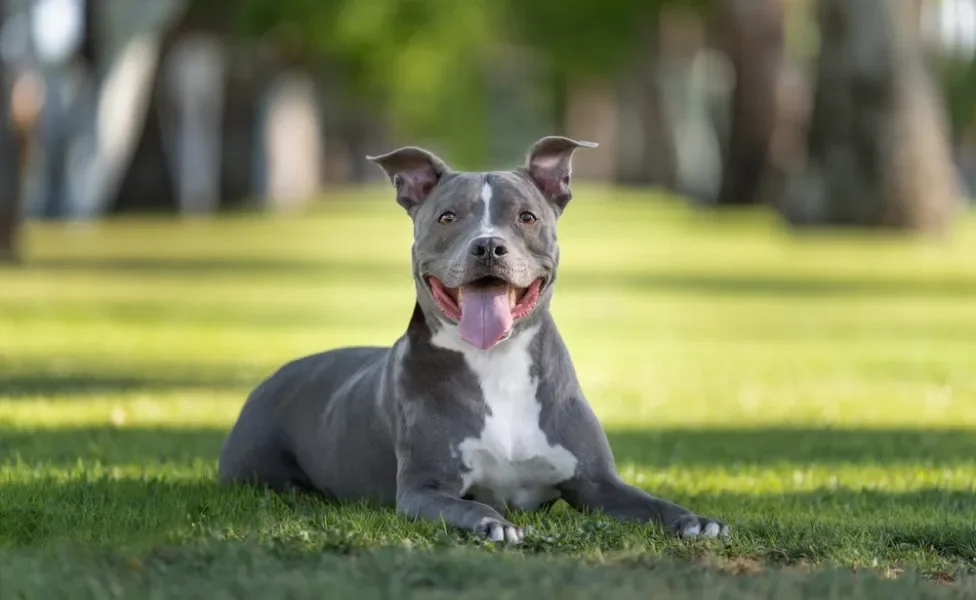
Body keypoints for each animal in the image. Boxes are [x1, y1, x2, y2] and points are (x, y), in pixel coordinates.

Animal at [219, 136, 724, 544]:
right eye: (447, 217)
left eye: (526, 217)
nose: (488, 246)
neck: (497, 361)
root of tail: (273, 377)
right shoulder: (424, 490)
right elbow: (472, 504)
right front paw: (492, 524)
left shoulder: (599, 484)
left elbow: (653, 503)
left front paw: (694, 520)